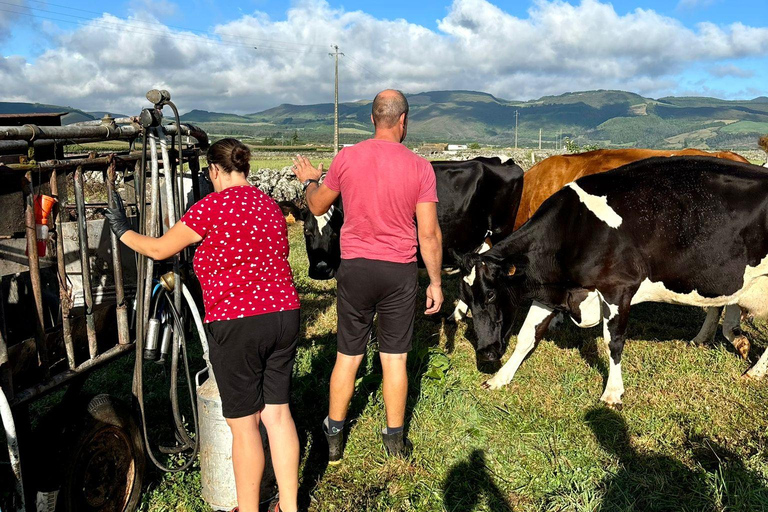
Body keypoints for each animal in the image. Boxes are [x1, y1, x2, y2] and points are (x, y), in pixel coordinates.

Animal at [456, 157, 768, 408]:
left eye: (491, 295)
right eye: (468, 300)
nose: (485, 353)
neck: (575, 228)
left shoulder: (617, 288)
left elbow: (613, 342)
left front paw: (612, 392)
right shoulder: (552, 290)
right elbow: (526, 336)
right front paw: (500, 378)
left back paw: (754, 372)